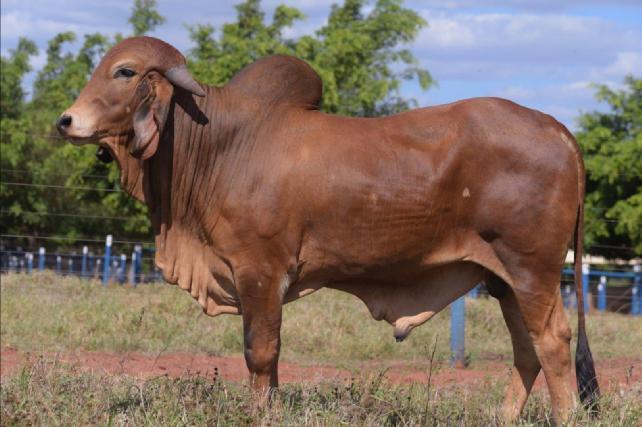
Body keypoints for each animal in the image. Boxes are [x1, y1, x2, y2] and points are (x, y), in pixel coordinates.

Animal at [57, 37, 596, 424]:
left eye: (124, 72)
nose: (66, 121)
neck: (221, 145)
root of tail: (558, 129)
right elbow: (270, 360)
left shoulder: (259, 271)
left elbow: (259, 352)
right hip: (502, 279)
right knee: (527, 350)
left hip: (532, 271)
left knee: (552, 342)